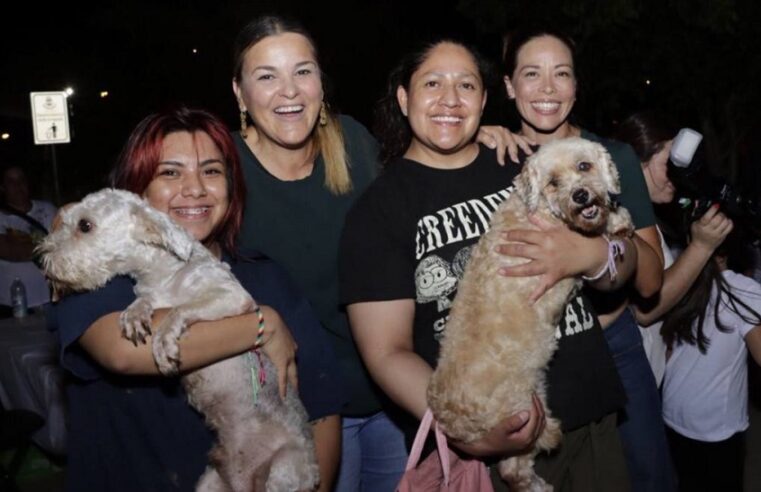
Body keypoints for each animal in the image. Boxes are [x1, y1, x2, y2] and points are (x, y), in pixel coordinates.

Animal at [37, 189, 318, 492]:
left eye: (85, 225)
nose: (40, 258)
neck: (164, 271)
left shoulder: (231, 297)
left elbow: (179, 310)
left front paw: (163, 344)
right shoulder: (152, 293)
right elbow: (145, 302)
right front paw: (134, 315)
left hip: (283, 471)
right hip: (210, 482)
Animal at [428, 136, 636, 490]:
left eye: (584, 165)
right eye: (553, 182)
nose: (580, 195)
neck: (537, 210)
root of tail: (449, 418)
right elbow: (600, 231)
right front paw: (617, 221)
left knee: (513, 469)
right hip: (522, 412)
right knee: (519, 463)